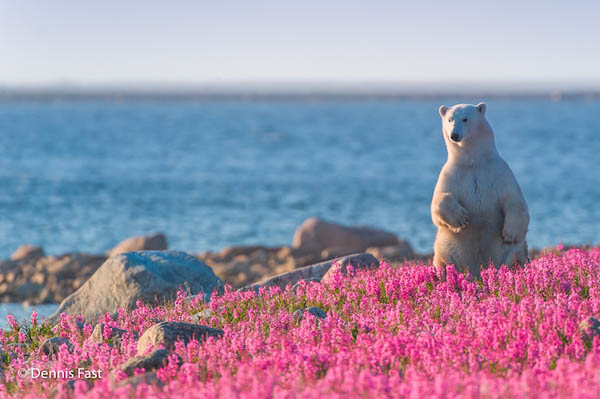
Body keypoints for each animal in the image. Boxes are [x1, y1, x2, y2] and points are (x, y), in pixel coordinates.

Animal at [432, 103, 528, 278]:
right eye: (449, 119)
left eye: (465, 119)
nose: (454, 135)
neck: (473, 161)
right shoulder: (451, 173)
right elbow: (438, 202)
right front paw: (461, 218)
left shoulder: (499, 172)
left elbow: (514, 200)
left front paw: (510, 234)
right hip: (446, 245)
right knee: (443, 259)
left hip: (507, 252)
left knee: (515, 255)